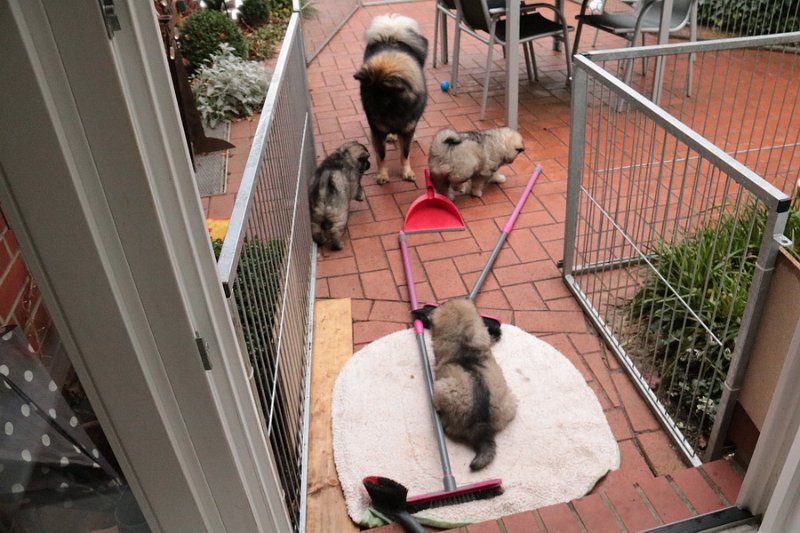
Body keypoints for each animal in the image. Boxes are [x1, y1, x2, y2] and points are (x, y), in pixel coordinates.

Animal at [354, 14, 428, 185]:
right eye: (366, 97)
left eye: (384, 99)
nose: (371, 116)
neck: (395, 111)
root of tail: (391, 36)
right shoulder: (377, 132)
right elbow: (381, 156)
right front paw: (382, 175)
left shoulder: (407, 129)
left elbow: (405, 154)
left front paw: (407, 172)